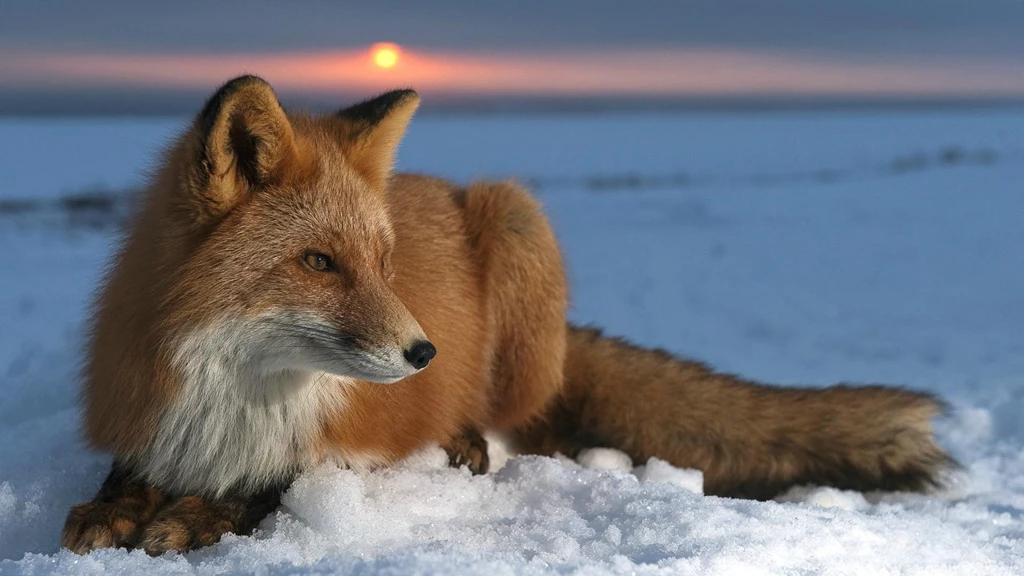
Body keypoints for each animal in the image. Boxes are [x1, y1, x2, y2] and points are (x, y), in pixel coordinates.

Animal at [61, 75, 955, 555]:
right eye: (318, 262)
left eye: (383, 264)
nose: (424, 353)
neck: (235, 398)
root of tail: (443, 185)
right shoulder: (148, 416)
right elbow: (122, 477)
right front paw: (114, 509)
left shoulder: (344, 448)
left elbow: (271, 488)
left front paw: (195, 517)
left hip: (519, 222)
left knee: (536, 426)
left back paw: (470, 442)